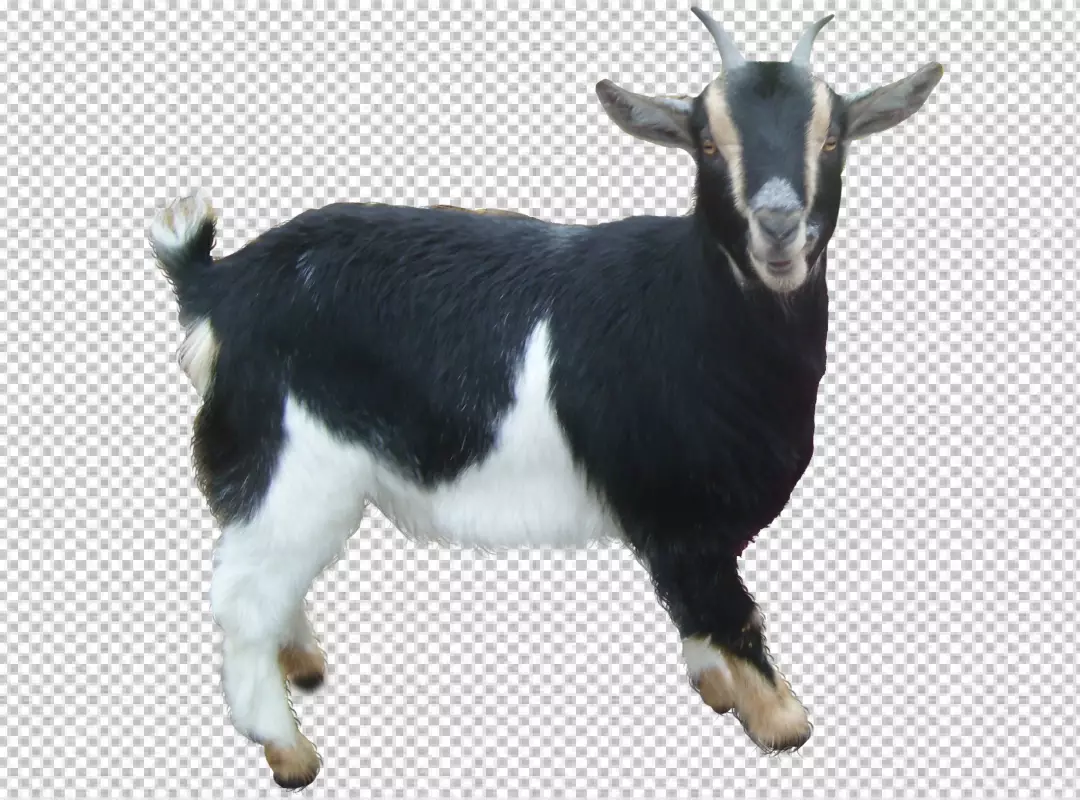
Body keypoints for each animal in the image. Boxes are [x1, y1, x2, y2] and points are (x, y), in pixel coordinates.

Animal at [150, 8, 942, 788]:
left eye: (832, 137)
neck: (694, 310)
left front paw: (716, 685)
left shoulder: (672, 522)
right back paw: (288, 749)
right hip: (288, 460)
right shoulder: (682, 513)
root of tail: (220, 285)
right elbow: (728, 611)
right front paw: (781, 721)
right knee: (244, 596)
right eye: (708, 142)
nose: (778, 225)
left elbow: (696, 610)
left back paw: (304, 663)